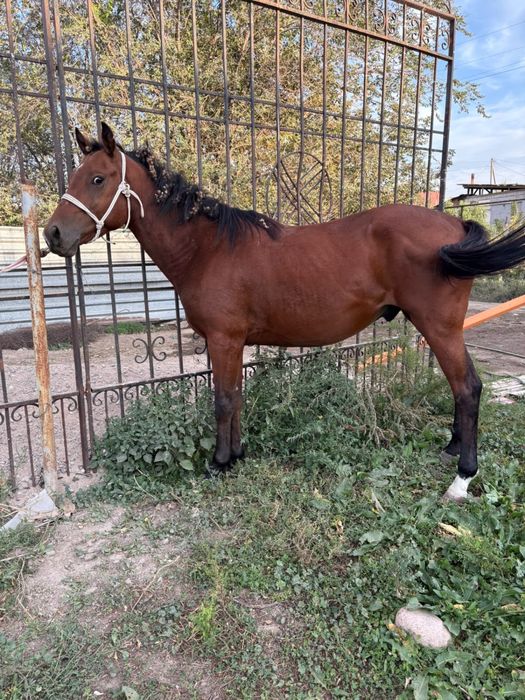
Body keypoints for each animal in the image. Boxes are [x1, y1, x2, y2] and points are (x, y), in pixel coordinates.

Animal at [44, 123, 525, 502]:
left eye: (98, 178)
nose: (53, 234)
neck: (207, 249)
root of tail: (455, 224)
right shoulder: (233, 342)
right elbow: (236, 395)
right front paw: (238, 454)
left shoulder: (223, 339)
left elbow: (222, 399)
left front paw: (220, 461)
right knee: (460, 389)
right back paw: (452, 449)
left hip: (440, 327)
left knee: (468, 388)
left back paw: (462, 477)